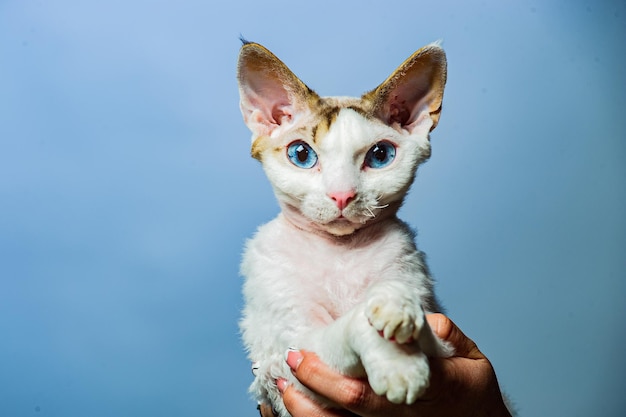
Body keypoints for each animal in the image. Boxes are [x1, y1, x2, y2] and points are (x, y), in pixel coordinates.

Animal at [236, 39, 450, 416]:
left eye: (380, 156)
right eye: (301, 155)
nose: (342, 195)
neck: (339, 253)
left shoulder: (439, 335)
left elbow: (414, 311)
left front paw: (397, 305)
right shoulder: (290, 357)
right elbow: (347, 329)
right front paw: (398, 366)